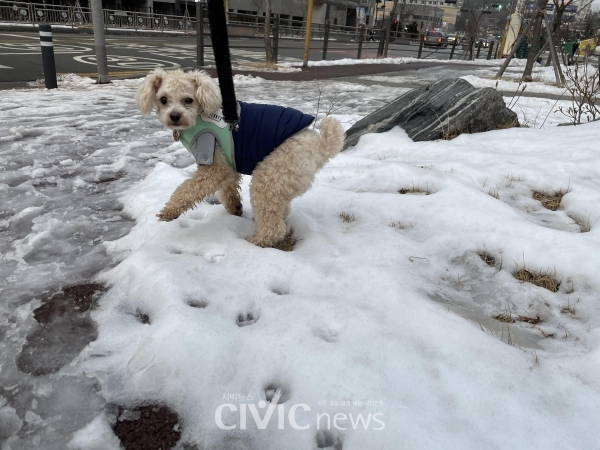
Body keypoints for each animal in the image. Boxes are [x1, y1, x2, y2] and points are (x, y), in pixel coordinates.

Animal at [135, 68, 342, 248]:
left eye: (188, 100)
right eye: (163, 99)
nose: (174, 116)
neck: (199, 115)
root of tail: (319, 145)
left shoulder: (213, 162)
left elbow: (187, 189)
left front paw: (169, 211)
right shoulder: (228, 162)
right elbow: (229, 190)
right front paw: (235, 209)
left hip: (271, 174)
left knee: (274, 227)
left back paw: (257, 240)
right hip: (280, 182)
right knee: (280, 210)